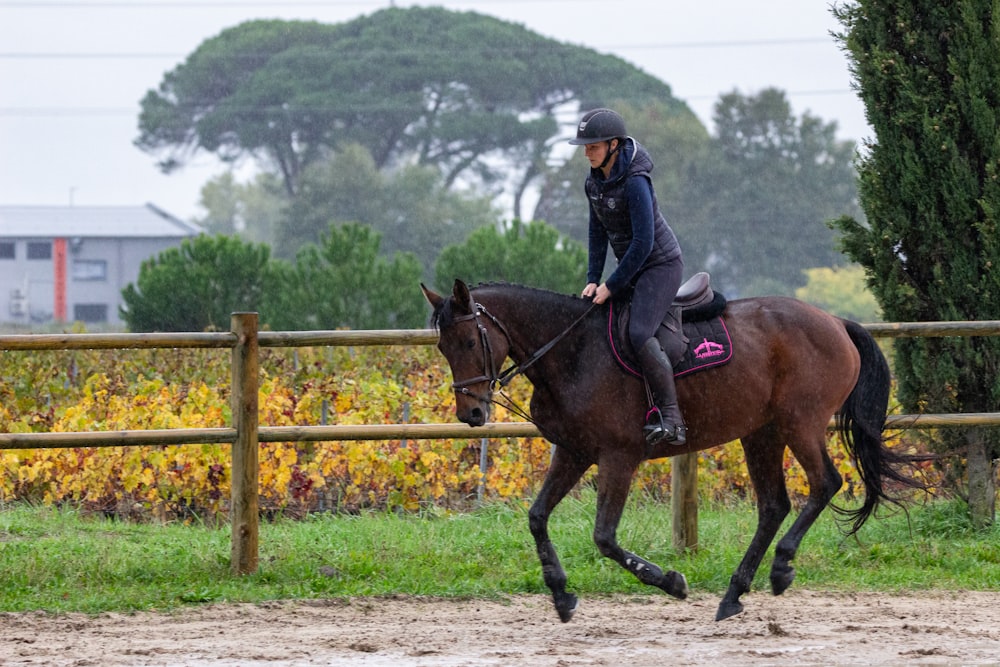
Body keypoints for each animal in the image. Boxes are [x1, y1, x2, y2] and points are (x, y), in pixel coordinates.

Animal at [418, 276, 916, 620]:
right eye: (442, 347)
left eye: (469, 340)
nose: (471, 414)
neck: (572, 350)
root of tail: (836, 322)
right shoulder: (574, 452)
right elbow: (538, 517)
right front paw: (560, 595)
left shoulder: (618, 457)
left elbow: (604, 537)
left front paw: (671, 582)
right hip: (762, 433)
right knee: (774, 505)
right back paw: (734, 593)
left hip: (801, 424)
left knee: (824, 483)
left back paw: (780, 568)